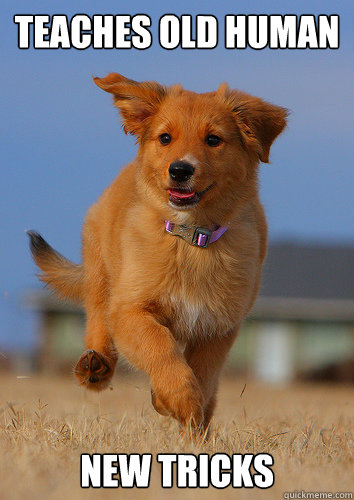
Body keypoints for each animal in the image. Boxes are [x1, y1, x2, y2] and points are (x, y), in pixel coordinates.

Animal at [27, 72, 288, 432]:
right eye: (165, 138)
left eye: (213, 140)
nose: (180, 170)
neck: (191, 239)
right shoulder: (131, 310)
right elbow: (160, 347)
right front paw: (178, 398)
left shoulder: (219, 327)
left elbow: (203, 375)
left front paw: (183, 411)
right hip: (101, 272)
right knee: (97, 317)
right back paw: (95, 366)